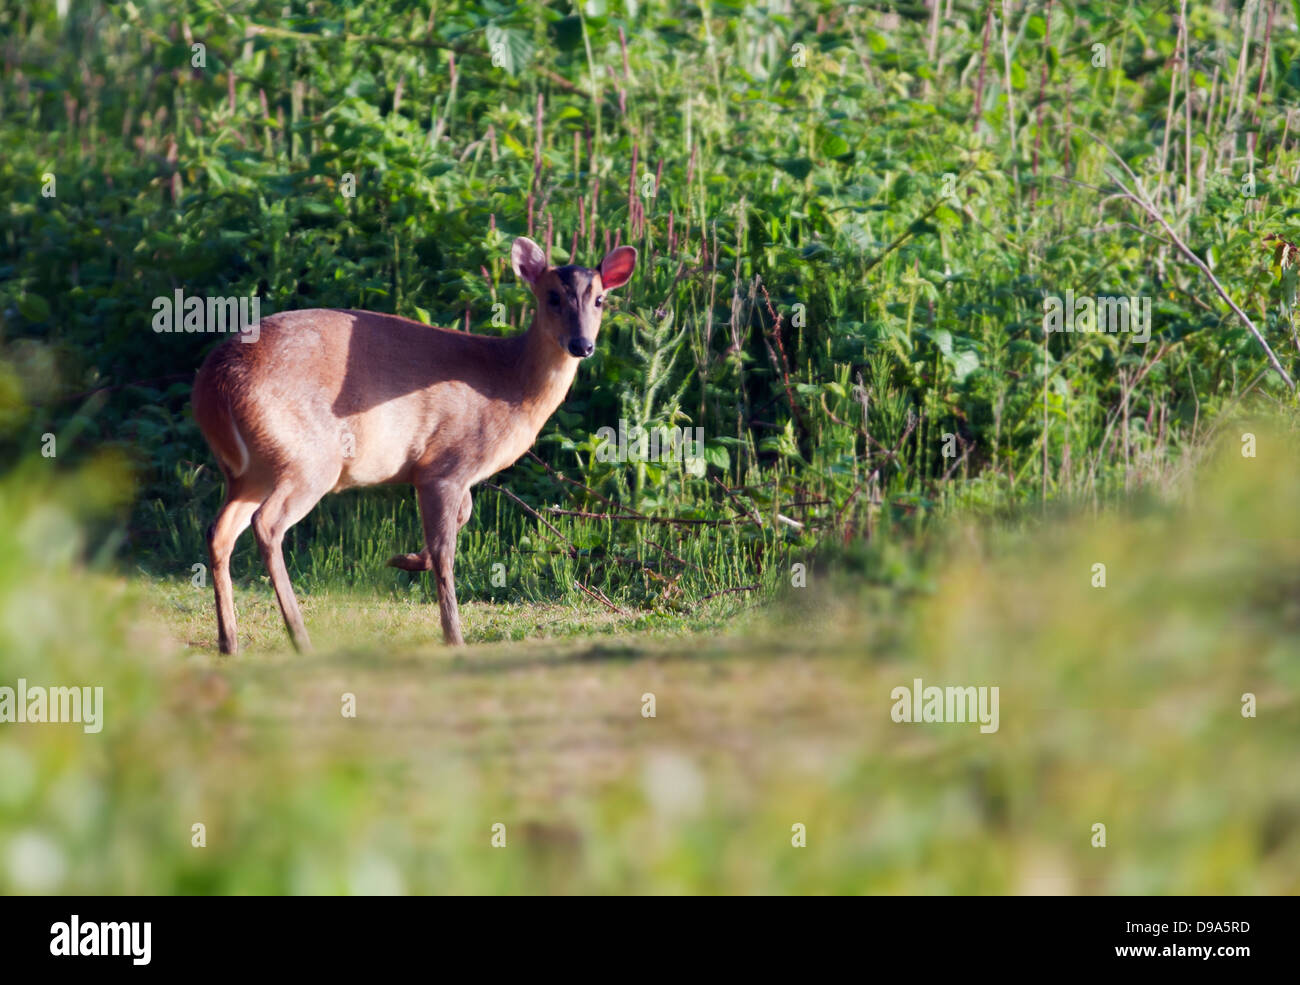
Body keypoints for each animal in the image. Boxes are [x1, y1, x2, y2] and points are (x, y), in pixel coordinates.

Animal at [189, 237, 637, 654]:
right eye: (552, 297)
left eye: (600, 299)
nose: (582, 344)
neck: (509, 383)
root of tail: (214, 385)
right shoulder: (445, 465)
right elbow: (445, 550)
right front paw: (453, 634)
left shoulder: (443, 472)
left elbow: (463, 516)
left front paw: (404, 560)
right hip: (309, 459)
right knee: (267, 524)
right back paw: (299, 638)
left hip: (250, 471)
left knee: (219, 530)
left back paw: (229, 642)